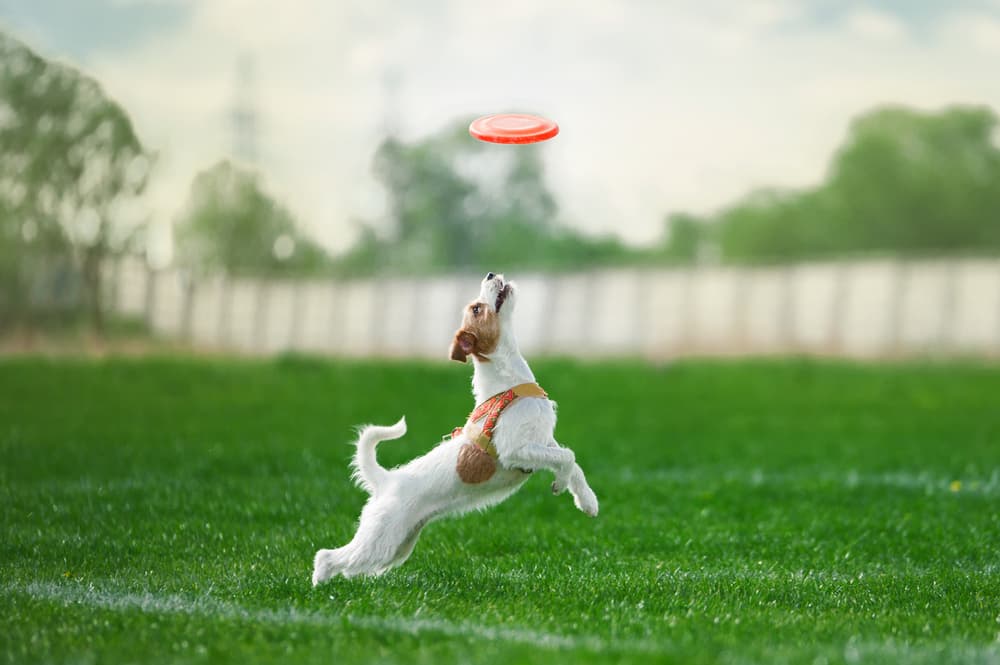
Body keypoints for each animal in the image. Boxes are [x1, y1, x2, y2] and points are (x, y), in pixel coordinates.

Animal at [308, 272, 596, 584]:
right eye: (476, 309)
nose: (491, 274)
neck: (508, 381)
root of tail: (385, 480)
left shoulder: (544, 441)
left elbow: (572, 461)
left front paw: (587, 501)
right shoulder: (515, 451)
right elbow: (567, 457)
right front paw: (561, 484)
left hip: (396, 546)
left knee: (351, 566)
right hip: (379, 539)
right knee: (328, 556)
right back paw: (320, 586)